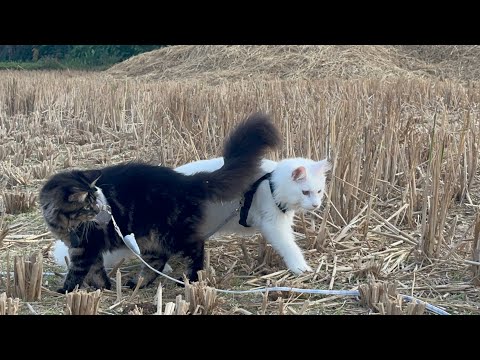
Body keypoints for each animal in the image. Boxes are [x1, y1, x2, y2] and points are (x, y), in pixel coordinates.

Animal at [42, 114, 282, 294]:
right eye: (90, 206)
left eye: (95, 203)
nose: (102, 214)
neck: (64, 224)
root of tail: (186, 180)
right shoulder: (86, 248)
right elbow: (96, 271)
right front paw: (105, 287)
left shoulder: (84, 248)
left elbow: (77, 272)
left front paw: (64, 291)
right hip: (150, 237)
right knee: (157, 261)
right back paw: (136, 284)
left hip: (173, 233)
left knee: (196, 249)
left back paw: (191, 279)